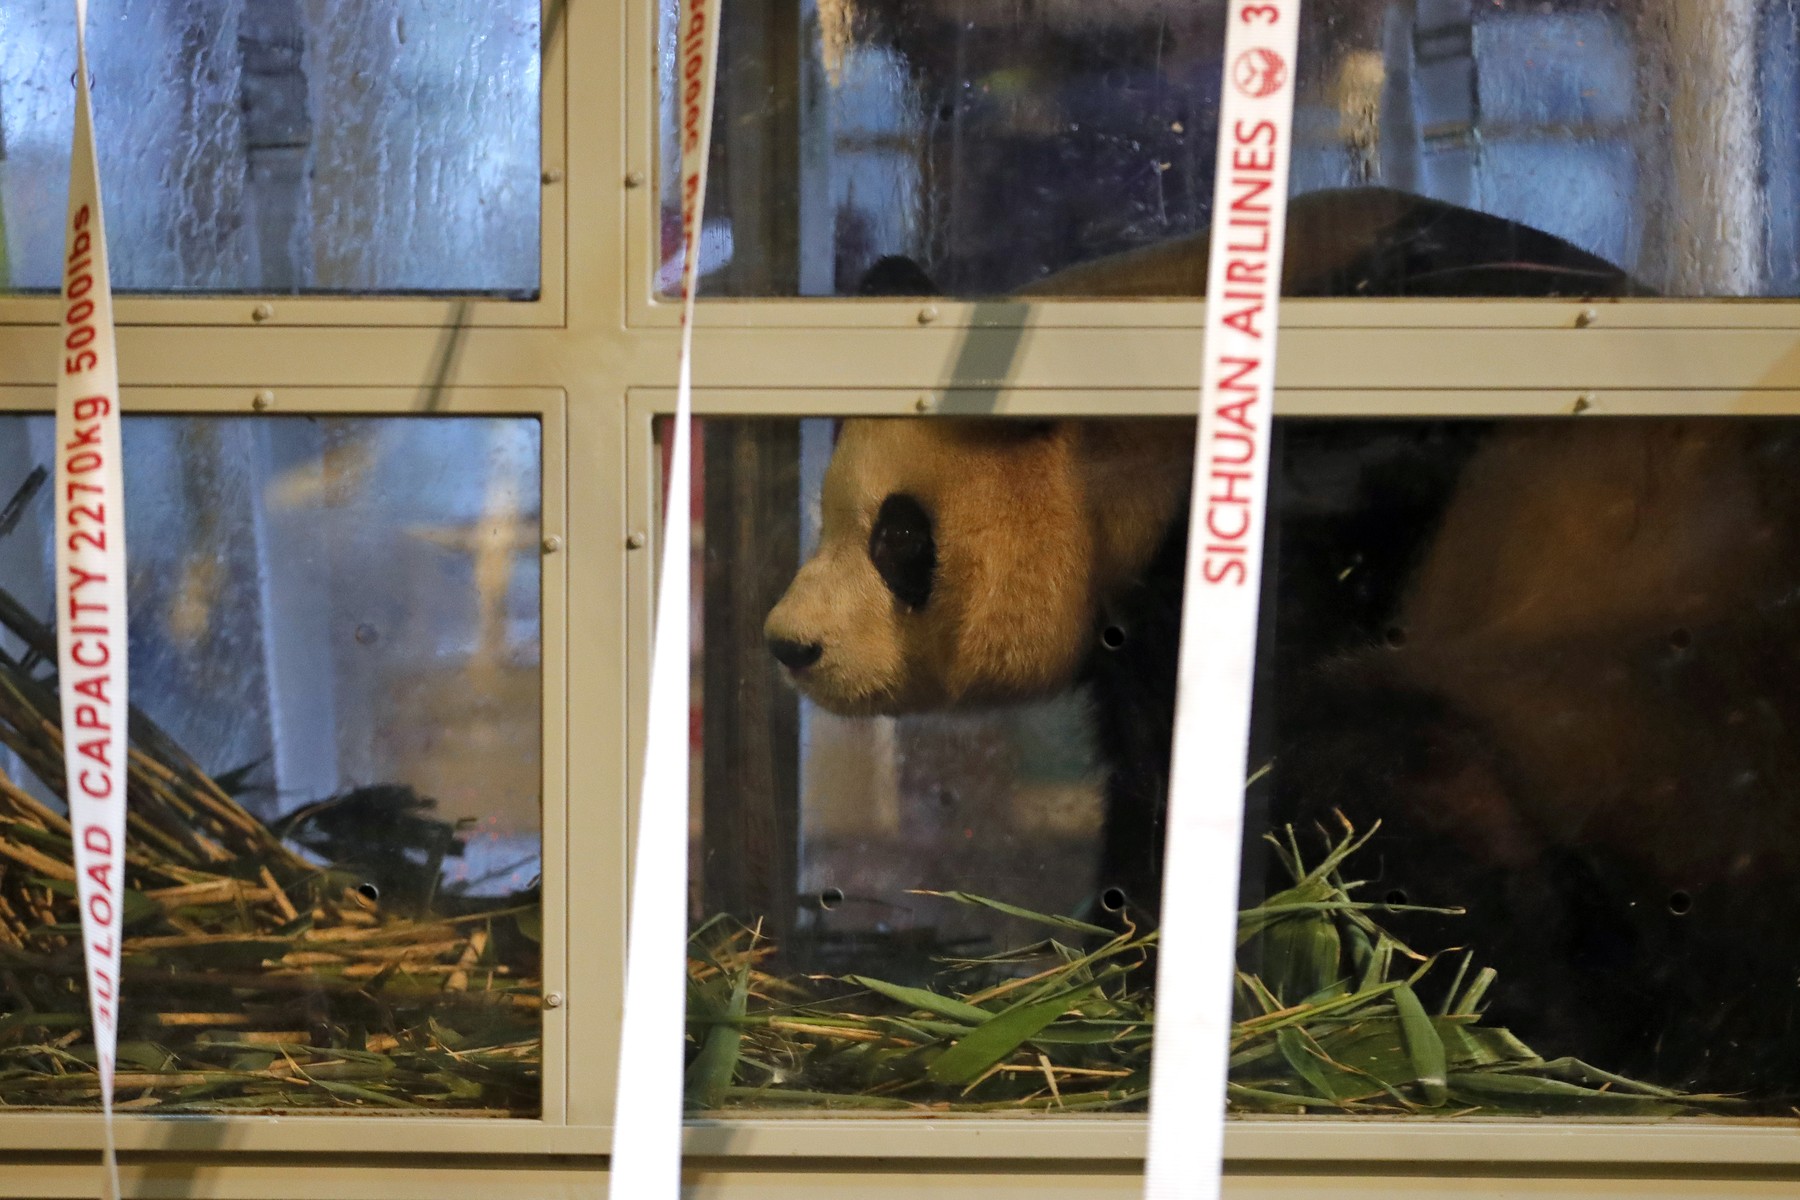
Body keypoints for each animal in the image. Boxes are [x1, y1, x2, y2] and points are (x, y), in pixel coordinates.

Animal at [765, 188, 1800, 1098]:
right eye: (827, 515)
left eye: (899, 538)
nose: (789, 644)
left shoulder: (1289, 536)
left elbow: (1217, 778)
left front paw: (1135, 982)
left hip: (1612, 735)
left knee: (1396, 788)